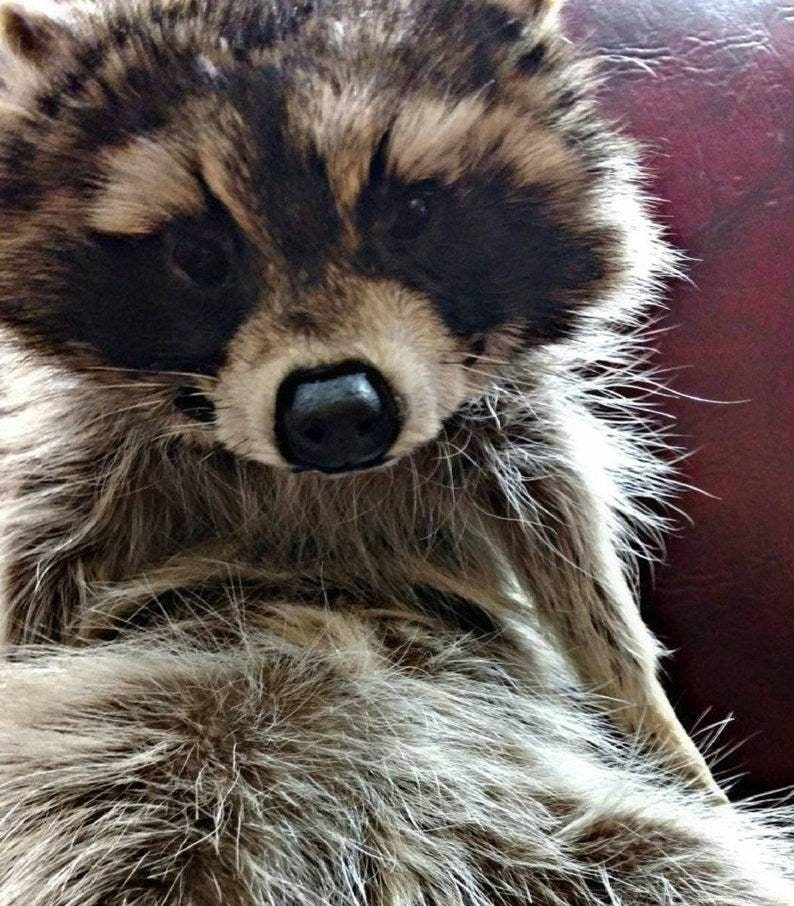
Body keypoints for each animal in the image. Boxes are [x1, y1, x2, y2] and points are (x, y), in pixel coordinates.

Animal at [0, 0, 791, 903]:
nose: (339, 413)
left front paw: (658, 723)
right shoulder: (68, 478)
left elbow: (588, 595)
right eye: (199, 256)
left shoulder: (517, 438)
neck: (313, 484)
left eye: (409, 216)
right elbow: (31, 580)